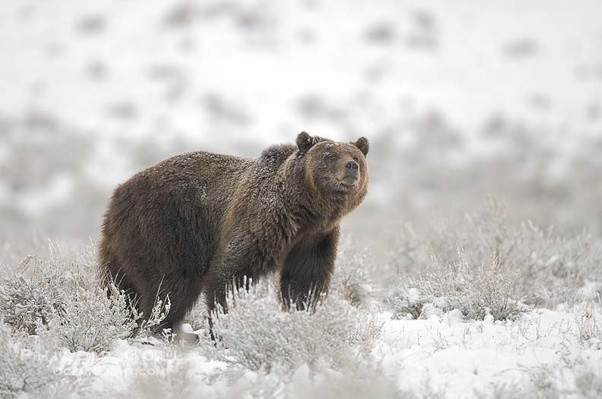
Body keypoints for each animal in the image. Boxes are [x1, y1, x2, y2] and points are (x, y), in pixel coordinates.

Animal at [98, 133, 368, 340]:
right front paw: (227, 327)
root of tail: (120, 191)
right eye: (329, 156)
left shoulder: (315, 240)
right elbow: (231, 274)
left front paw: (302, 314)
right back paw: (168, 329)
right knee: (170, 284)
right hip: (166, 228)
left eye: (356, 157)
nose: (351, 167)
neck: (303, 214)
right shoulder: (261, 221)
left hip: (124, 242)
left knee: (121, 284)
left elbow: (306, 282)